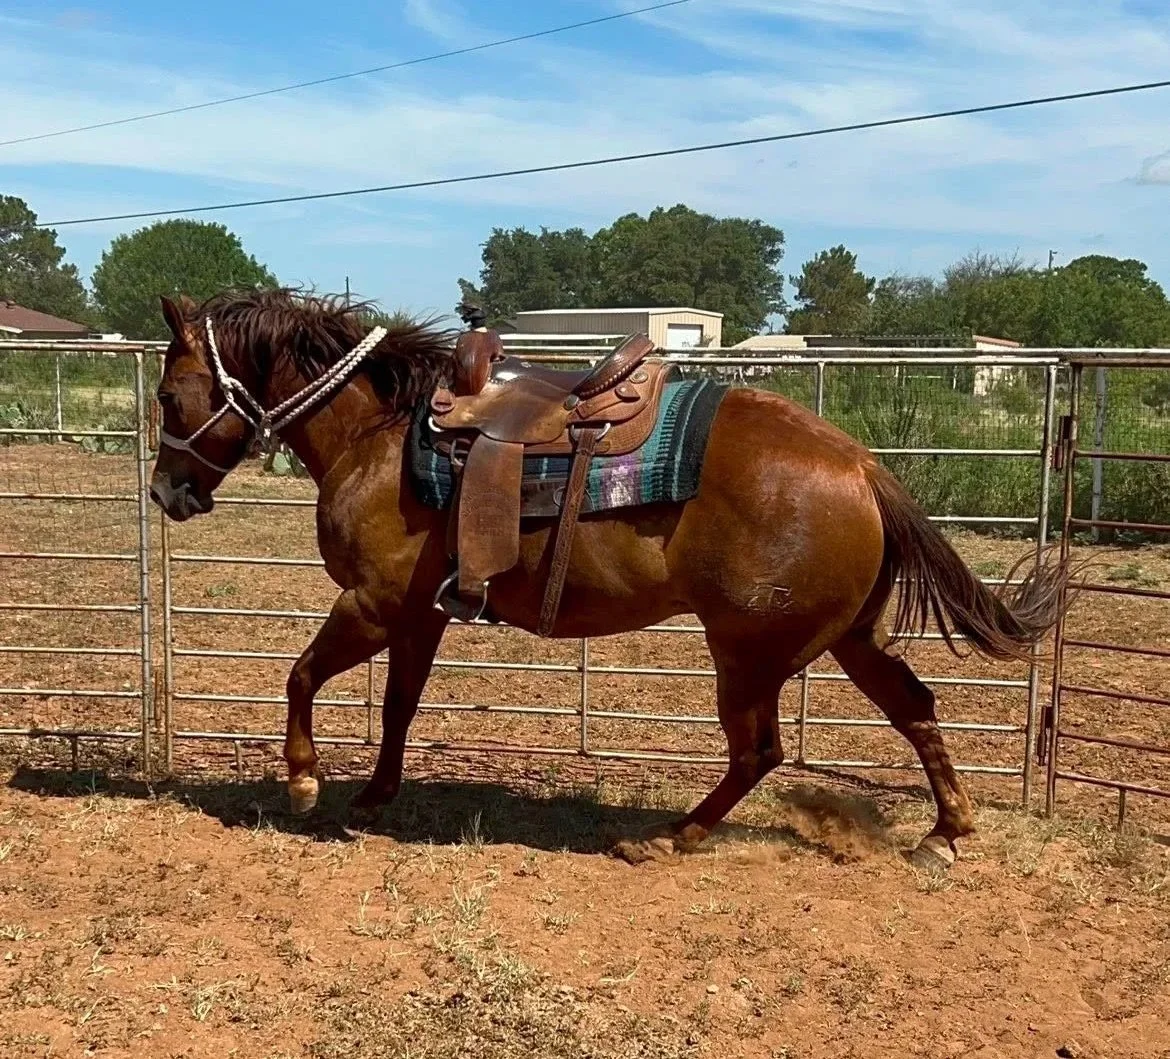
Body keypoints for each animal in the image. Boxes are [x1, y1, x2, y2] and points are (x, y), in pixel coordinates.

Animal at [147, 288, 1073, 870]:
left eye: (167, 395)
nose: (165, 491)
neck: (381, 434)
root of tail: (860, 466)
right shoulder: (417, 615)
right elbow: (399, 706)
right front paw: (373, 798)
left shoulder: (371, 605)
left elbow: (301, 675)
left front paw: (304, 781)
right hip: (851, 636)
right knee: (914, 707)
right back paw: (945, 832)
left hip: (749, 653)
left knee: (759, 749)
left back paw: (671, 837)